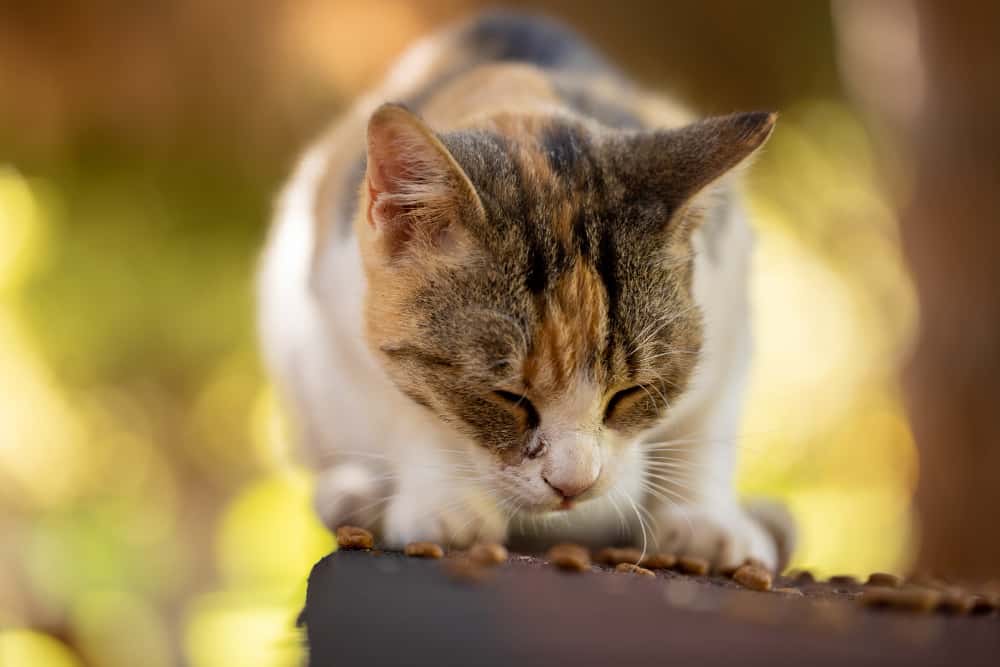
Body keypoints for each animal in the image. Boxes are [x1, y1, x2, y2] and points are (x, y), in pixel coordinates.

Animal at [260, 10, 796, 572]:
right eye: (507, 397)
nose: (573, 484)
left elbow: (708, 423)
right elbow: (404, 408)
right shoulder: (332, 306)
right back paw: (354, 497)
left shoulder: (730, 288)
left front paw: (705, 520)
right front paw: (445, 503)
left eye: (629, 393)